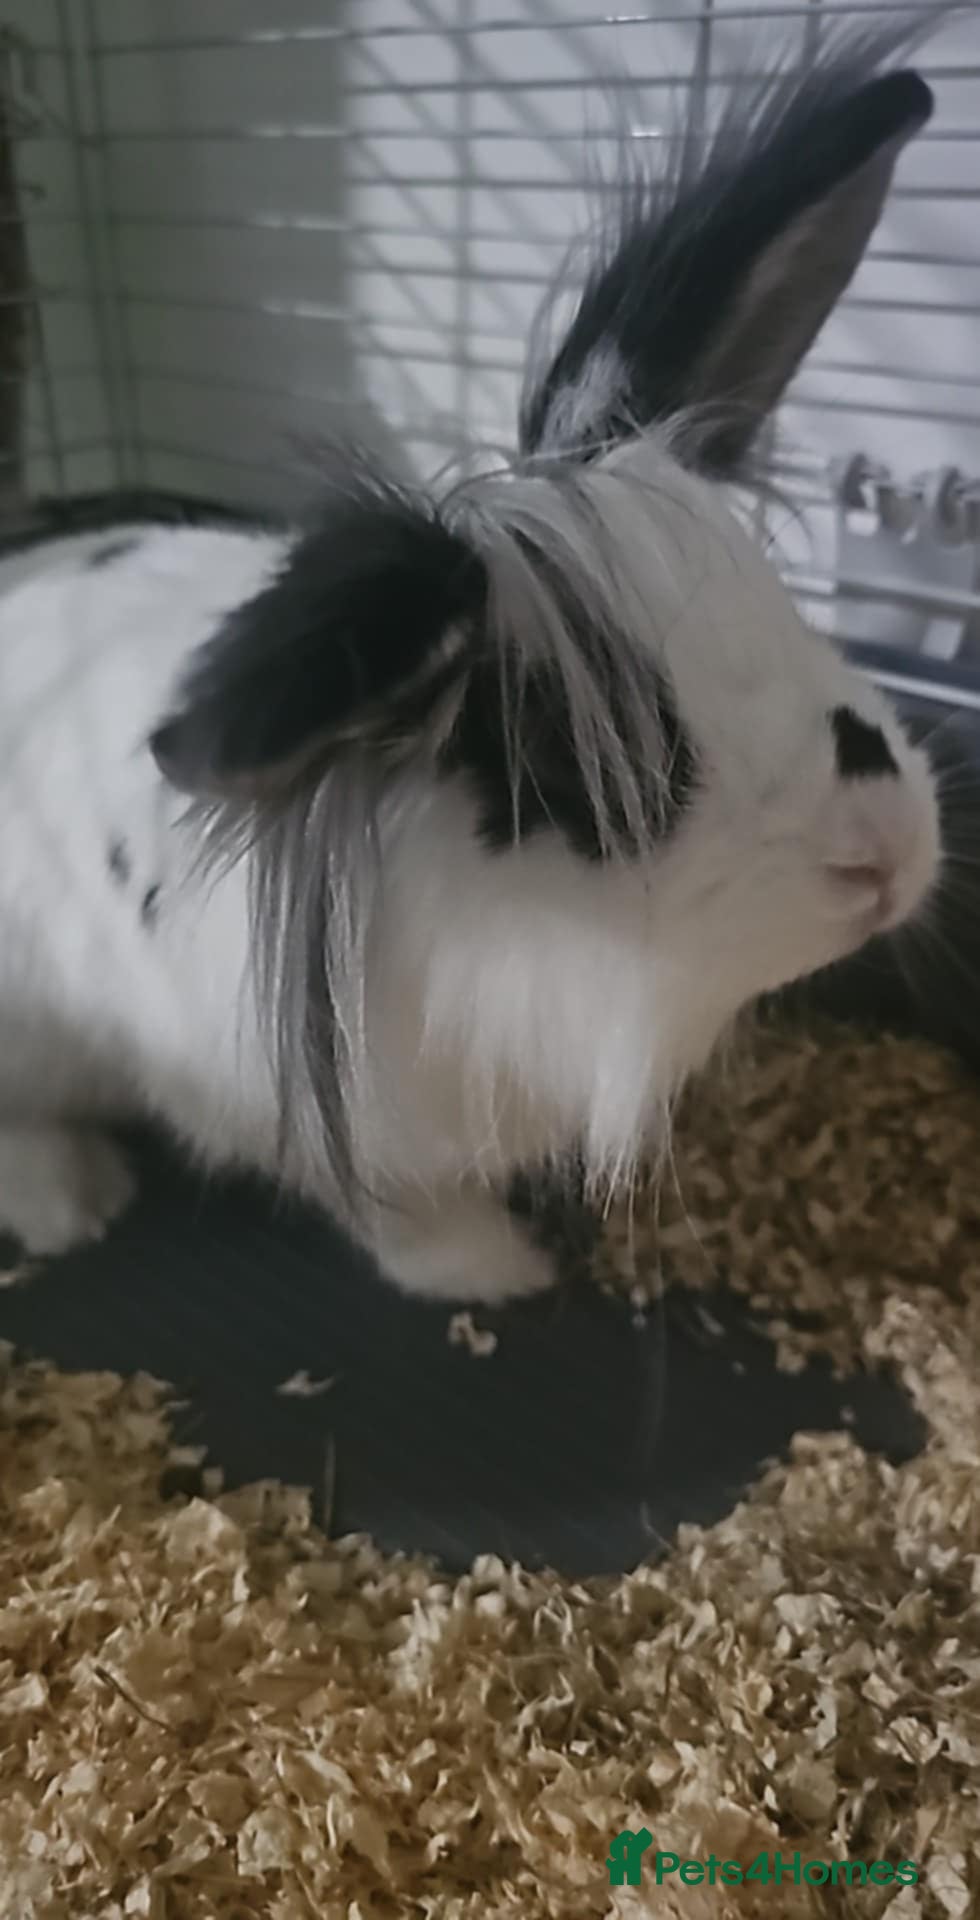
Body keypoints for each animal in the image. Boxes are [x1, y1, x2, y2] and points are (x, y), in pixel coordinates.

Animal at [0, 28, 943, 1301]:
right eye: (566, 755)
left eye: (780, 604)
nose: (884, 854)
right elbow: (401, 1211)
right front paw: (497, 1270)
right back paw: (70, 1205)